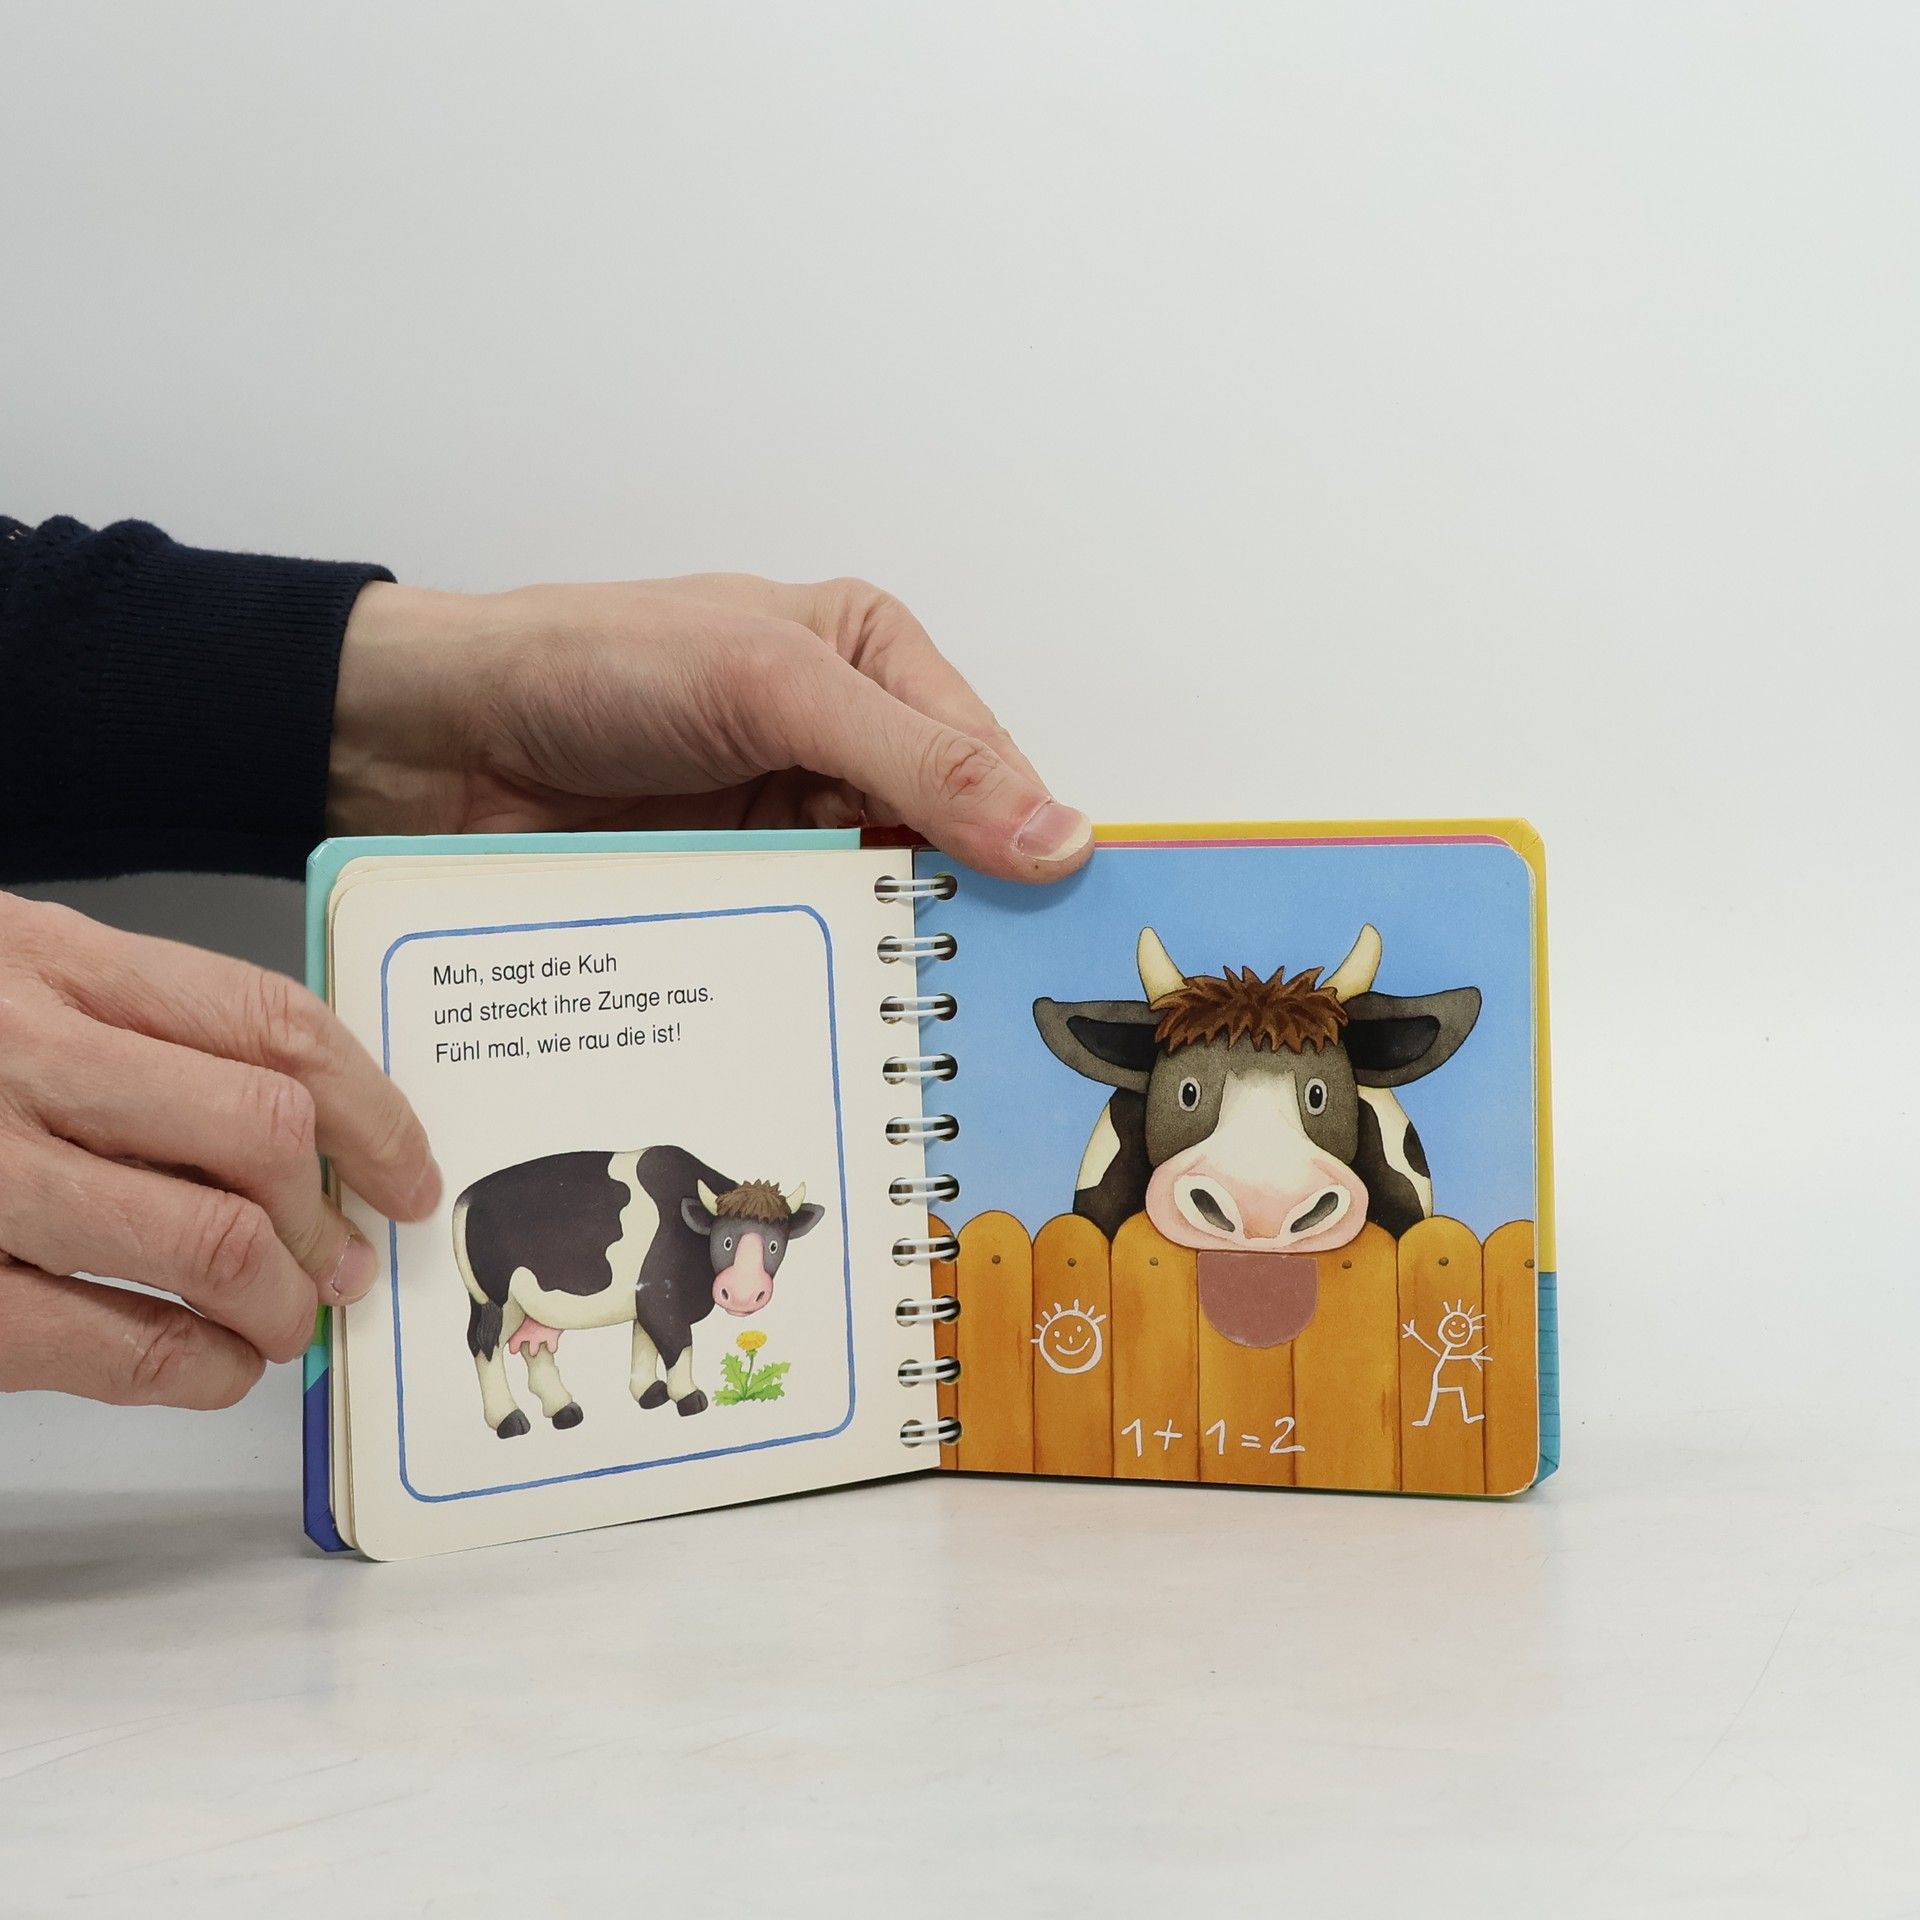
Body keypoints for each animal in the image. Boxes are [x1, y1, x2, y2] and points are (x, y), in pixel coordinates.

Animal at [450, 1145, 823, 1437]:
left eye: (774, 1245)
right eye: (726, 1241)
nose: (742, 1292)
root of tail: (468, 1197)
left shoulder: (647, 1300)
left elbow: (644, 1342)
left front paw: (650, 1393)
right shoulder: (660, 1297)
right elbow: (678, 1344)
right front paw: (688, 1396)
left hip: (530, 1305)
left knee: (534, 1345)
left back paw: (563, 1409)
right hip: (495, 1300)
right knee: (483, 1345)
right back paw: (509, 1419)